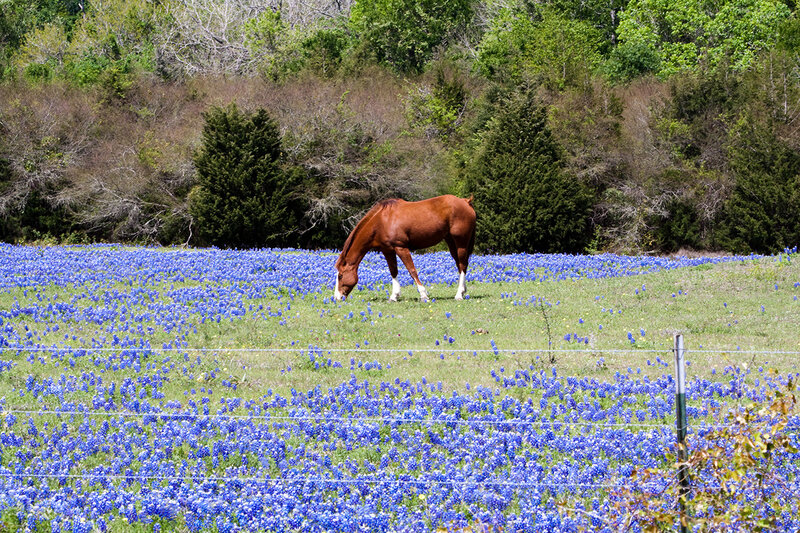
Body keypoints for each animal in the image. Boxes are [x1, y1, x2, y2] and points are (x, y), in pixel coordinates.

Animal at [334, 194, 476, 302]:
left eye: (340, 276)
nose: (337, 297)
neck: (382, 221)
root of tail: (465, 201)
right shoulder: (388, 250)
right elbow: (393, 271)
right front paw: (394, 296)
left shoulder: (401, 247)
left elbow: (412, 270)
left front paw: (423, 294)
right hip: (451, 241)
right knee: (460, 265)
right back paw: (463, 291)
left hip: (461, 242)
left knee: (462, 265)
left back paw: (459, 294)